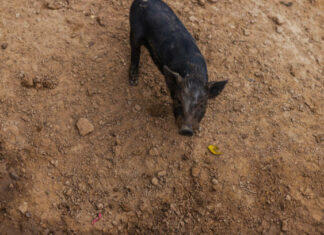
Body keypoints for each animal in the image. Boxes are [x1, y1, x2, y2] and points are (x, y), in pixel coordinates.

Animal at [129, 0, 228, 136]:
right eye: (178, 100)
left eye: (202, 104)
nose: (186, 130)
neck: (193, 72)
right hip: (135, 28)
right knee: (134, 49)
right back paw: (133, 81)